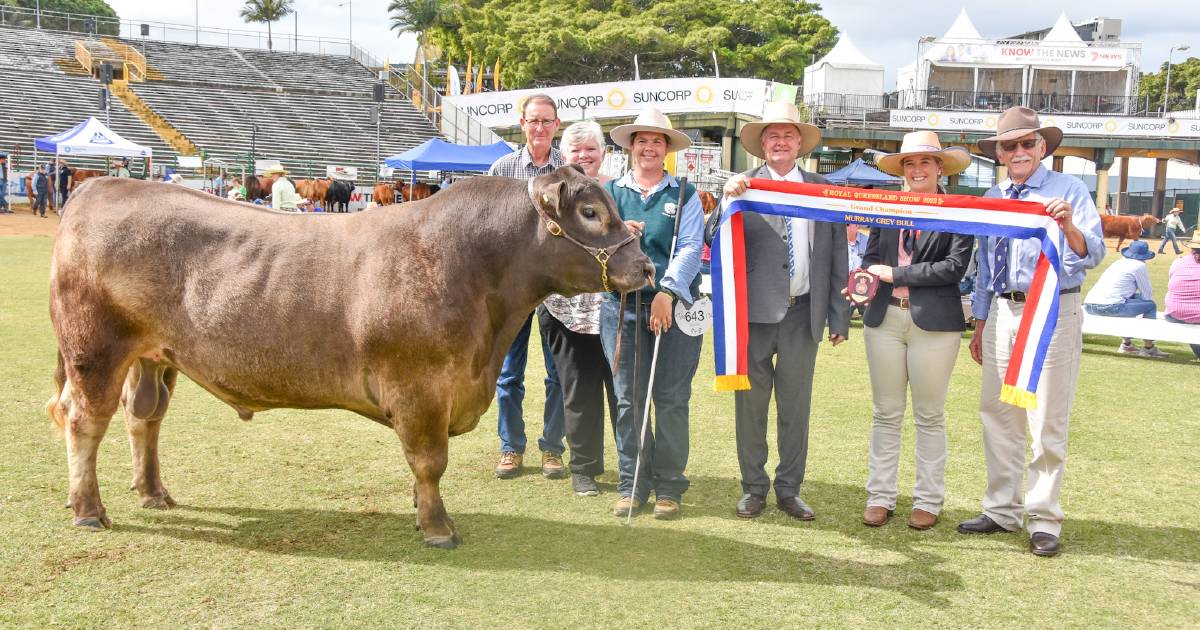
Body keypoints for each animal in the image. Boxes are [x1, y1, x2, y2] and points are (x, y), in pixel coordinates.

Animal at [44, 165, 657, 544]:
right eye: (592, 213)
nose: (646, 266)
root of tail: (97, 188)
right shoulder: (419, 388)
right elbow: (429, 461)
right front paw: (438, 527)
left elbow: (422, 466)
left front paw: (420, 514)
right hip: (94, 350)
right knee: (84, 422)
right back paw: (89, 511)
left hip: (154, 356)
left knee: (144, 418)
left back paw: (153, 492)